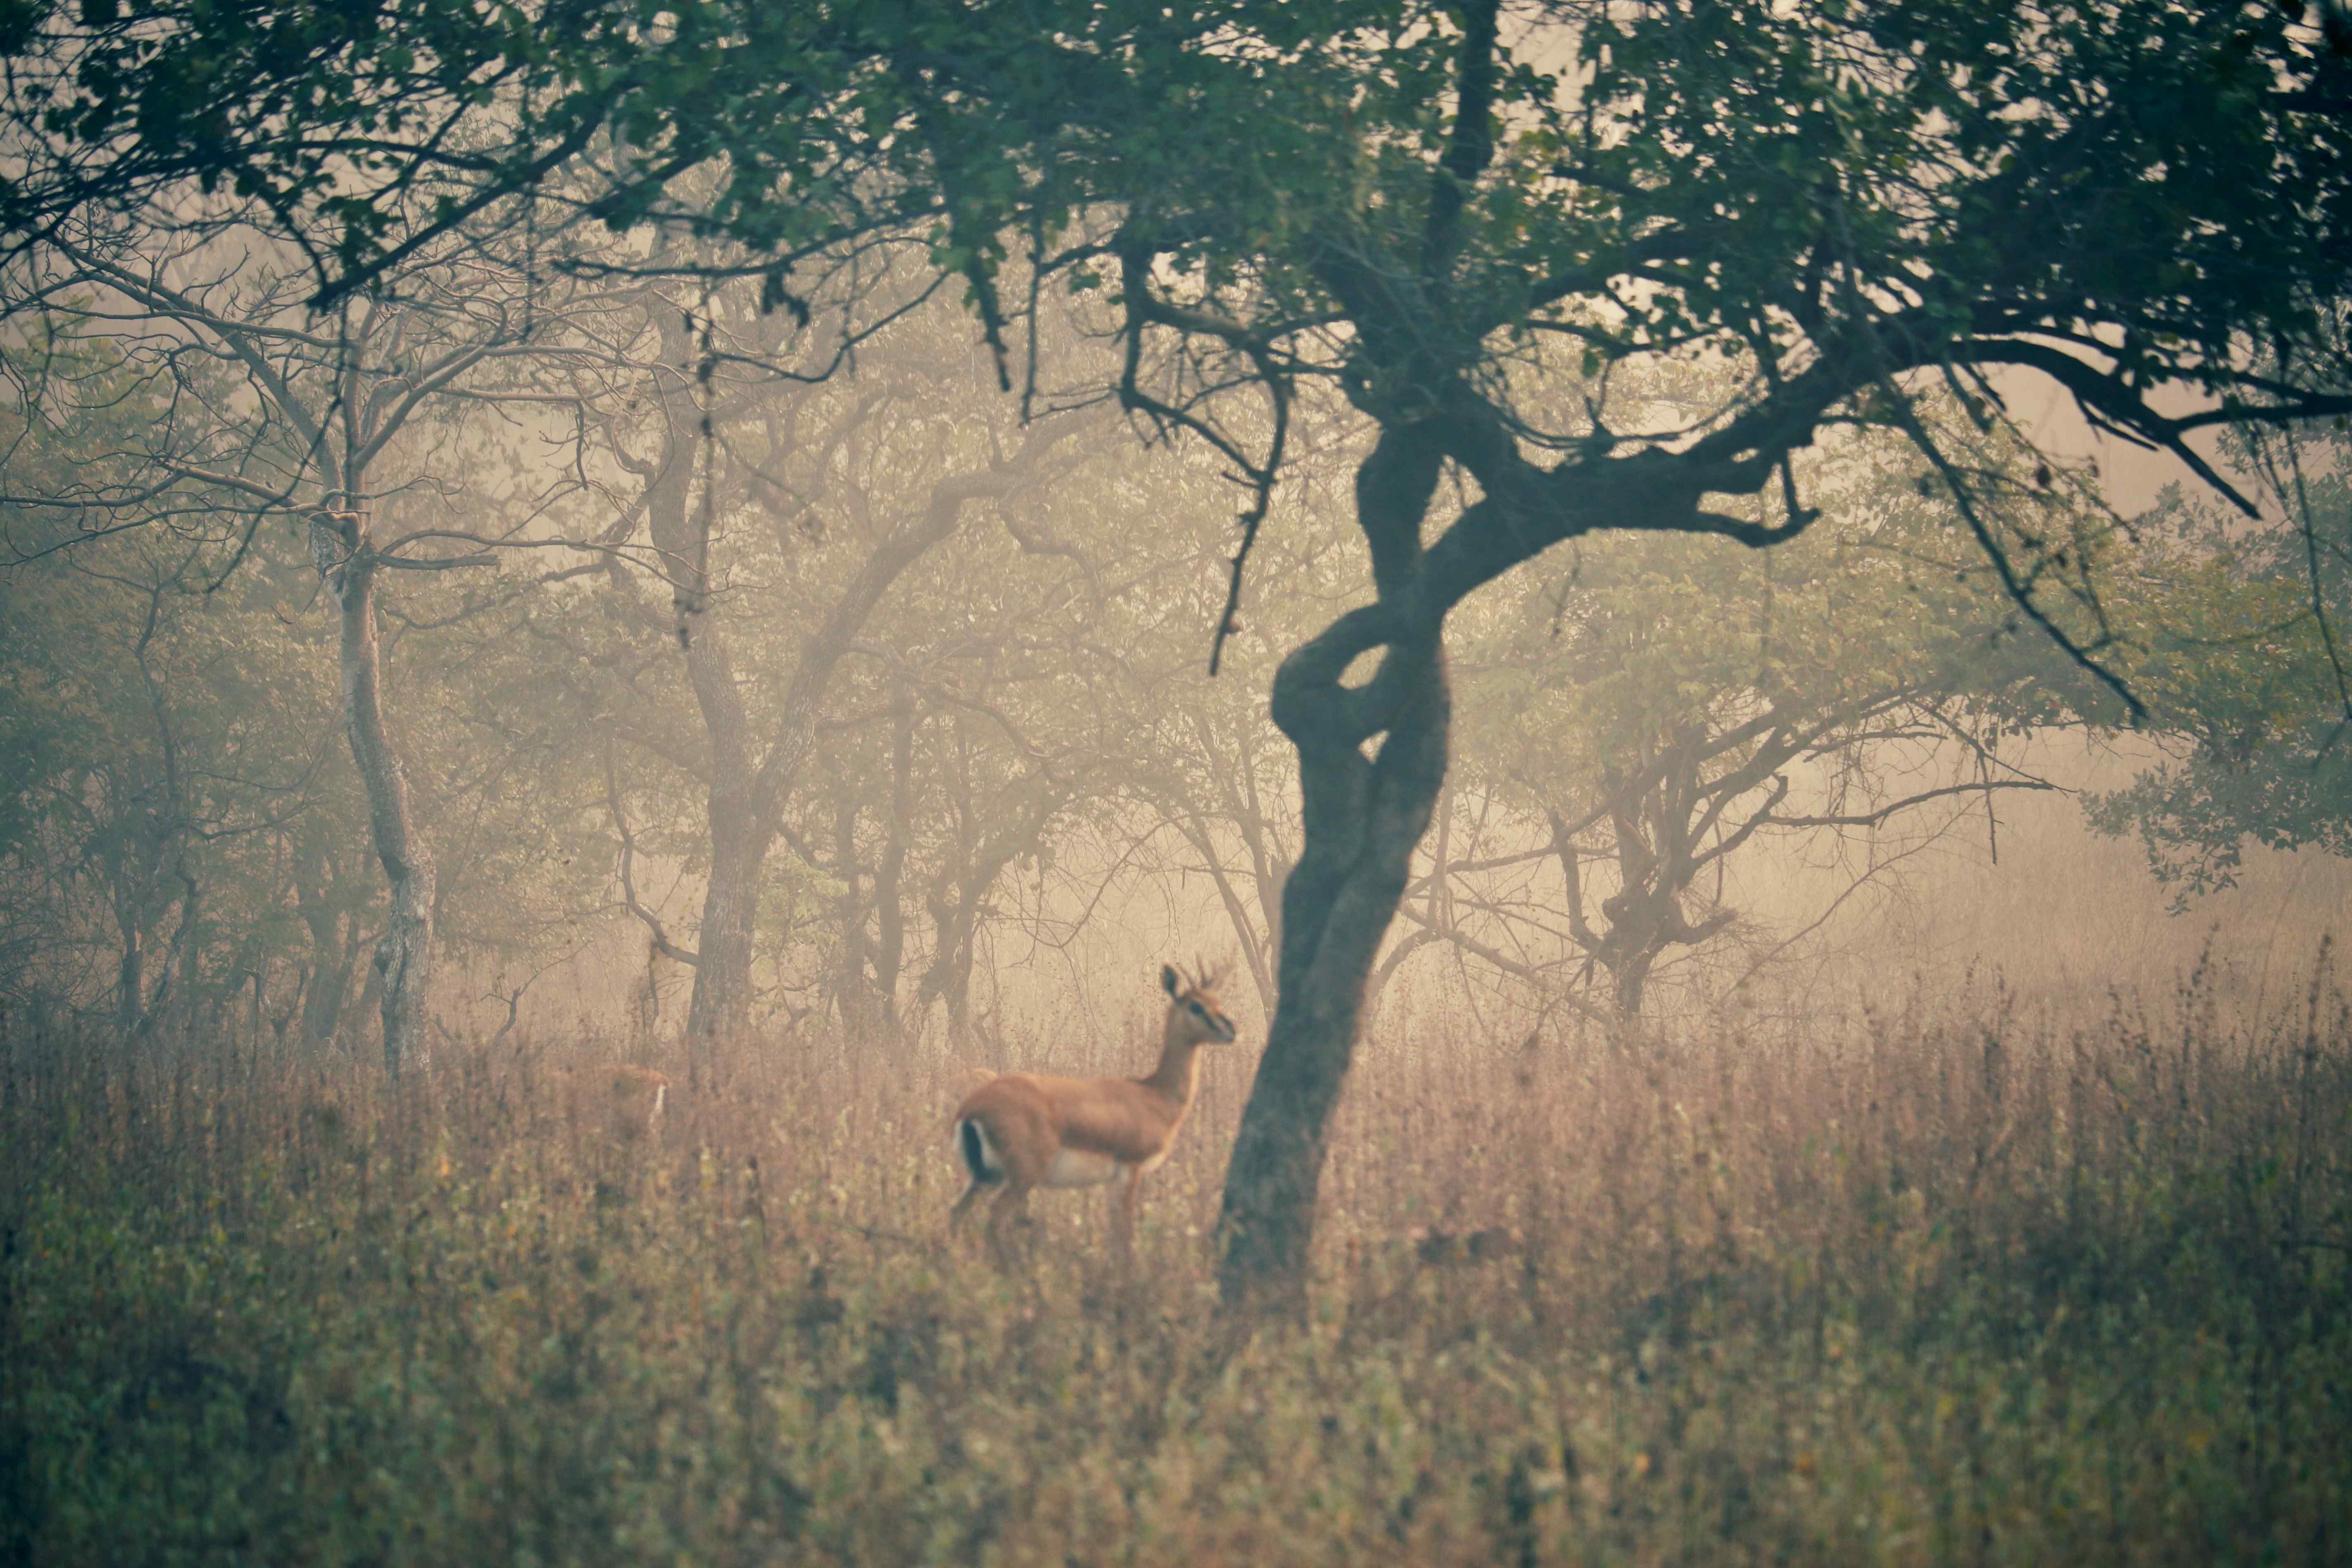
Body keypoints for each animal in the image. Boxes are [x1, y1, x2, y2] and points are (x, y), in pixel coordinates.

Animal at [950, 962, 1238, 1266]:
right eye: (1196, 1006)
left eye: (1217, 1002)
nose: (1231, 1030)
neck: (1154, 1095)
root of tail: (971, 1108)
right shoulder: (1130, 1170)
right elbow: (1125, 1234)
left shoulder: (1113, 1180)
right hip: (1022, 1176)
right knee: (995, 1216)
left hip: (985, 1176)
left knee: (957, 1213)